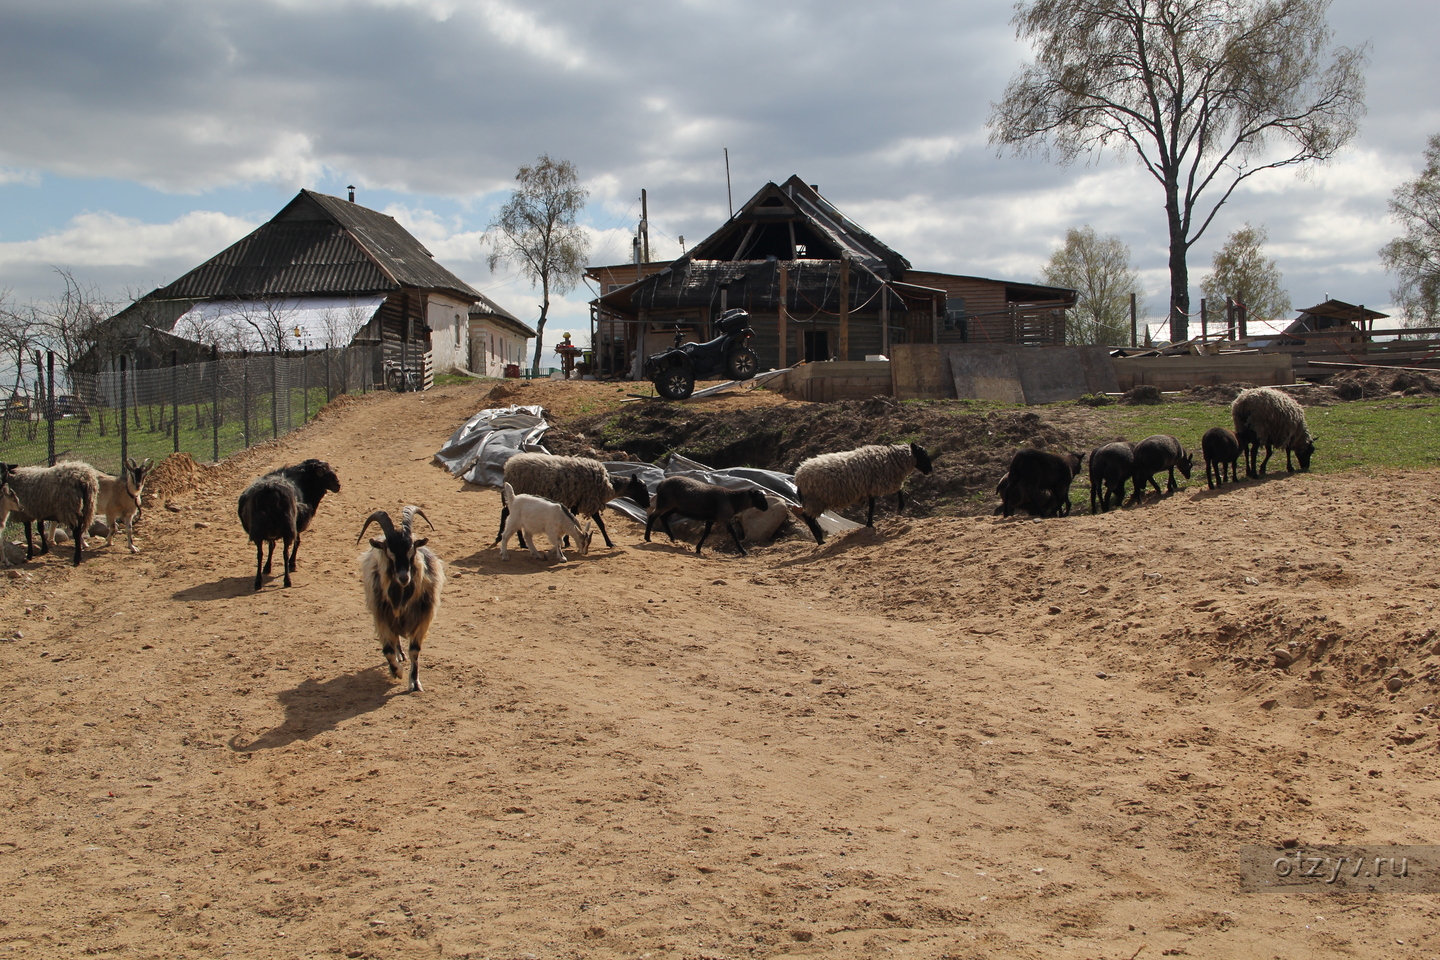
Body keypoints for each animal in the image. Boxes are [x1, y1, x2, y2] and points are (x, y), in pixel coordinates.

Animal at [355, 506, 440, 693]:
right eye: (389, 553)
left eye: (412, 550)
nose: (403, 577)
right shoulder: (382, 617)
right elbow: (387, 650)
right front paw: (397, 672)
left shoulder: (422, 619)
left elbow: (415, 650)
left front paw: (414, 683)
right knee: (394, 640)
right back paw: (399, 655)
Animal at [498, 457, 650, 552]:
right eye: (642, 488)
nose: (648, 504)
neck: (610, 486)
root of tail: (508, 466)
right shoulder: (590, 501)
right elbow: (601, 524)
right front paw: (610, 543)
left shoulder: (577, 502)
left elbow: (575, 519)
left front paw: (566, 541)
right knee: (507, 513)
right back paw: (508, 539)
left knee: (506, 512)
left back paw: (513, 540)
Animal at [789, 440, 933, 544]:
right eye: (924, 455)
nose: (930, 471)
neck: (892, 459)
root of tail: (798, 477)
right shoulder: (881, 482)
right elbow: (895, 493)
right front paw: (899, 508)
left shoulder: (871, 488)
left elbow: (873, 504)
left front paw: (870, 523)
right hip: (815, 500)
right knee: (808, 517)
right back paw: (820, 540)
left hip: (813, 501)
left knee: (809, 518)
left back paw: (820, 537)